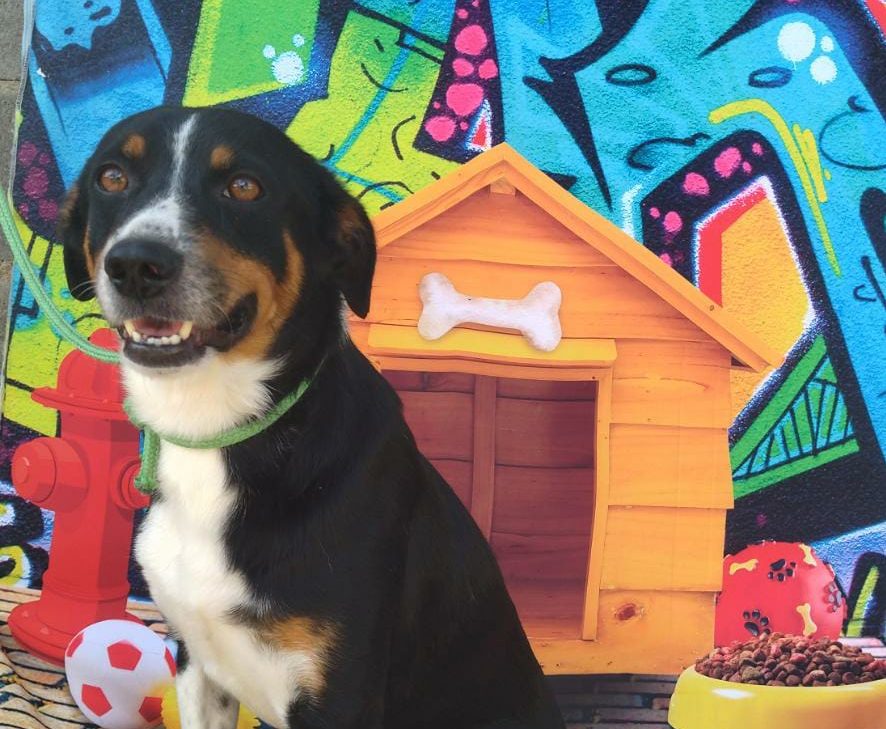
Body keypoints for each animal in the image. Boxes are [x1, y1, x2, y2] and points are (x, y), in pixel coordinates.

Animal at [59, 106, 566, 729]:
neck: (217, 434)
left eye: (244, 186)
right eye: (111, 177)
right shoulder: (198, 661)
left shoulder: (340, 691)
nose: (135, 265)